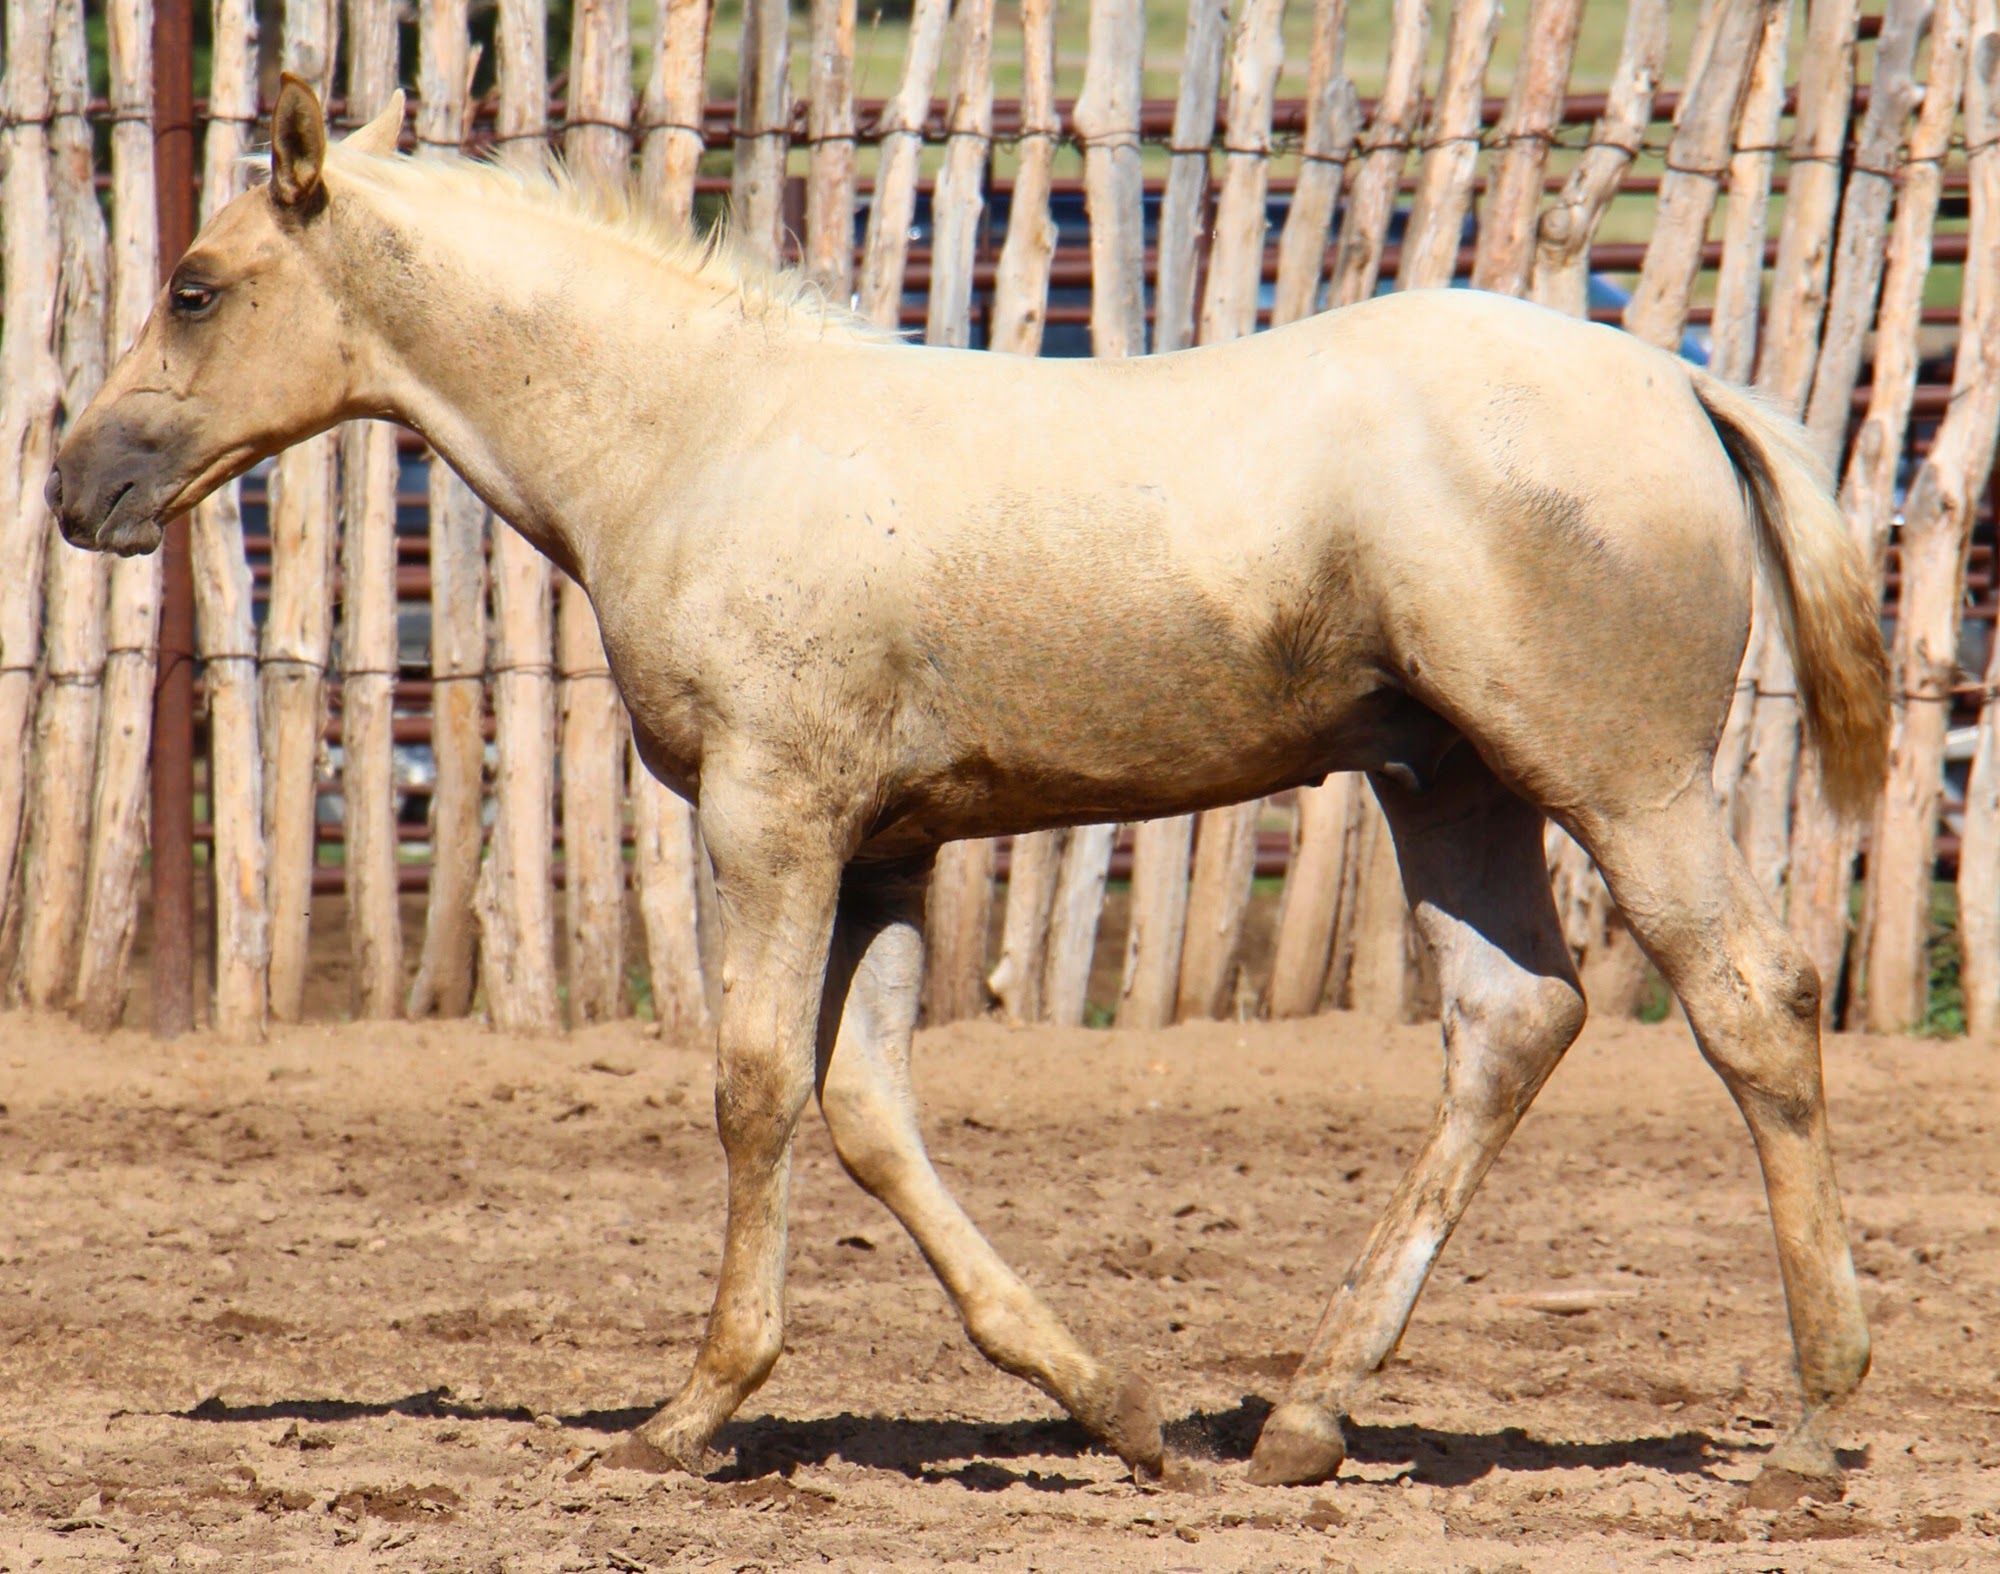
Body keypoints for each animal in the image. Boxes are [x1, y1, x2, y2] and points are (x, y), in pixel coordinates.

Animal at [49, 77, 1889, 1494]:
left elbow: (751, 1086)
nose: (78, 481)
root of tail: (1681, 379)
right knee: (1515, 1020)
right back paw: (1301, 1419)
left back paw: (1813, 1426)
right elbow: (869, 1110)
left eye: (197, 283)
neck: (697, 431)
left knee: (1754, 998)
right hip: (1446, 784)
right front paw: (1115, 1407)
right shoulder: (889, 843)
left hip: (1621, 778)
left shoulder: (771, 811)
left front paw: (690, 1413)